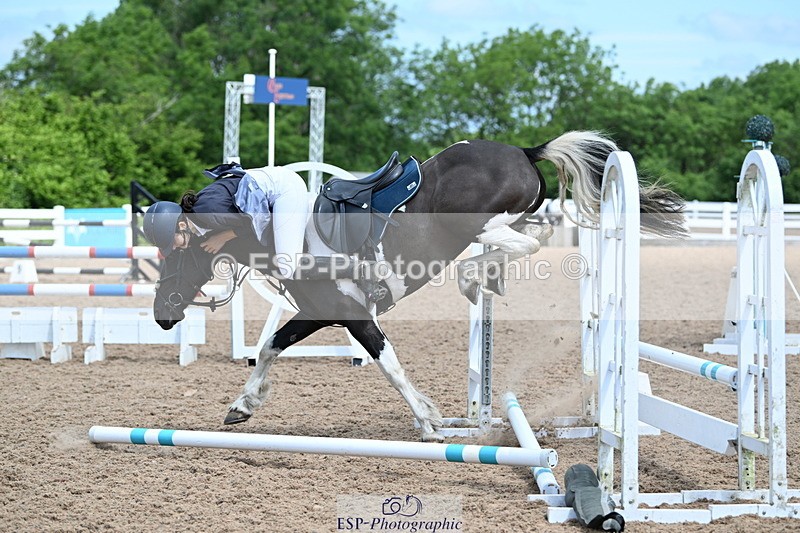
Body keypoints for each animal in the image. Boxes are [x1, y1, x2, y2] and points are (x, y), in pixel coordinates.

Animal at [152, 131, 685, 442]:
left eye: (176, 256)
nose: (161, 315)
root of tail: (523, 150)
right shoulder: (323, 313)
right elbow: (270, 347)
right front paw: (242, 406)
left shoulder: (355, 316)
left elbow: (389, 366)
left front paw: (429, 421)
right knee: (529, 238)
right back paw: (484, 278)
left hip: (483, 223)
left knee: (530, 240)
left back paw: (474, 277)